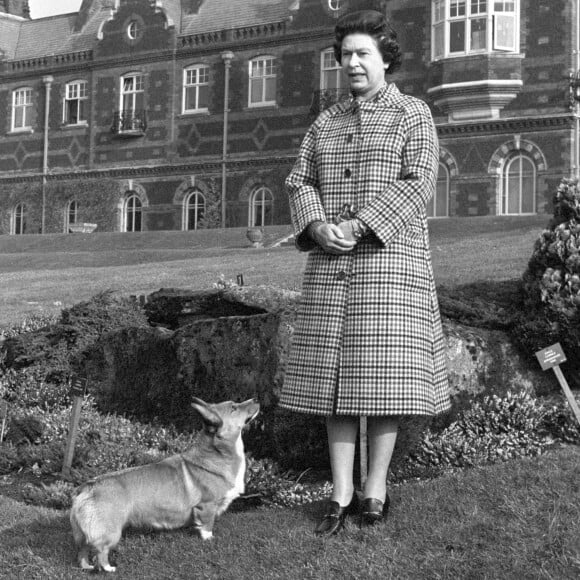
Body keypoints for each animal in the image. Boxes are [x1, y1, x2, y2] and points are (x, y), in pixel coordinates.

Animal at [69, 396, 260, 572]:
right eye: (234, 407)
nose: (256, 399)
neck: (219, 454)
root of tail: (87, 488)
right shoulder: (207, 506)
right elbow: (207, 526)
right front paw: (209, 540)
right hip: (111, 532)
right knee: (101, 551)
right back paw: (109, 568)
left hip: (84, 534)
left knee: (83, 551)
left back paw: (86, 566)